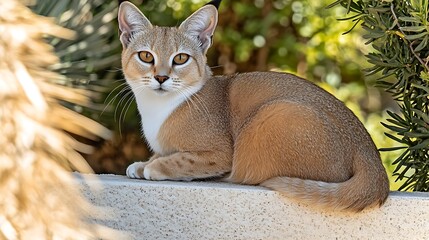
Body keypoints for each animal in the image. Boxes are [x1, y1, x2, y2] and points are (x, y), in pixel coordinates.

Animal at [116, 0, 388, 210]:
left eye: (181, 58)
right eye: (146, 56)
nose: (161, 77)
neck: (158, 108)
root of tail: (369, 153)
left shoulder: (220, 154)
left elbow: (182, 161)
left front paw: (153, 166)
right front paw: (144, 163)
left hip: (271, 116)